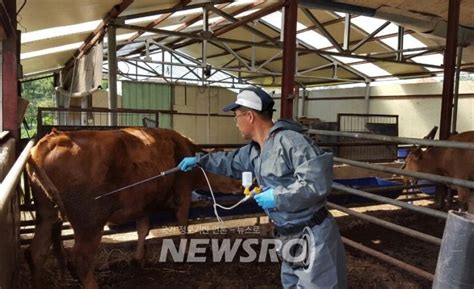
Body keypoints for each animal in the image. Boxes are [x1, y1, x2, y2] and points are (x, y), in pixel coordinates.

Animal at [25, 127, 243, 286]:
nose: (243, 186)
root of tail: (55, 137)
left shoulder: (142, 203)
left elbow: (143, 229)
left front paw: (139, 258)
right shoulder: (183, 192)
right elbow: (183, 223)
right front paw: (185, 252)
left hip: (46, 214)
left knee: (36, 253)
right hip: (90, 221)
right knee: (81, 261)